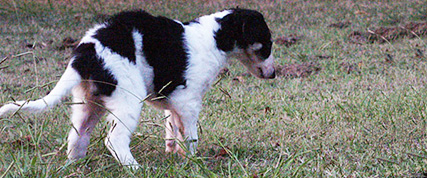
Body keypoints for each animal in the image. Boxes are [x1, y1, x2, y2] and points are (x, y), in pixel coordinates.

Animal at [0, 8, 276, 167]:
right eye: (267, 43)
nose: (274, 74)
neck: (215, 37)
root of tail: (87, 49)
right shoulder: (188, 102)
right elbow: (190, 136)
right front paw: (192, 161)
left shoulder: (174, 102)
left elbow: (172, 130)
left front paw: (174, 156)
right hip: (127, 100)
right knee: (114, 140)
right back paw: (134, 168)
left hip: (90, 101)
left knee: (77, 136)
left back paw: (76, 165)